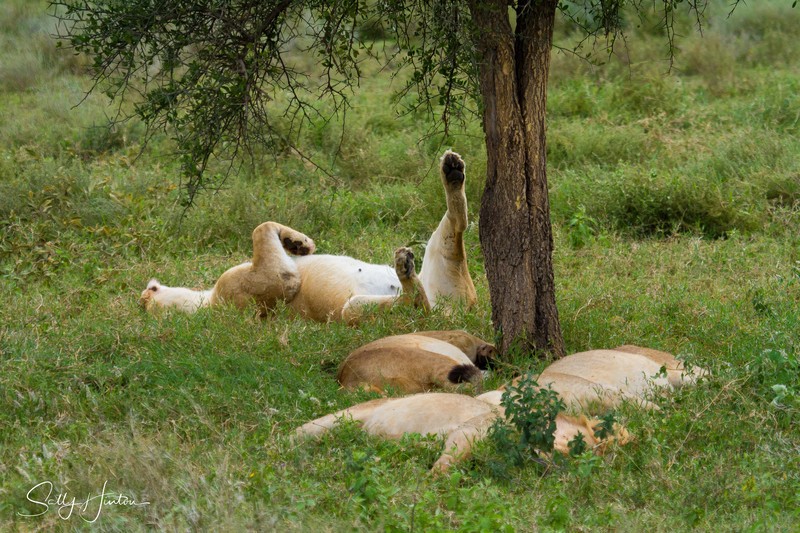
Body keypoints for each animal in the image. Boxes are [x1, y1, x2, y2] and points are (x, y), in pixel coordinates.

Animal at [140, 150, 476, 322]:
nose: (147, 290)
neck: (207, 301)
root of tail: (453, 315)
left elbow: (262, 225)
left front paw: (298, 243)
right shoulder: (265, 283)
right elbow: (260, 229)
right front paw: (298, 242)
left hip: (439, 258)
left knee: (457, 223)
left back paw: (452, 169)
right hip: (354, 310)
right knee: (418, 305)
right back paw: (405, 268)